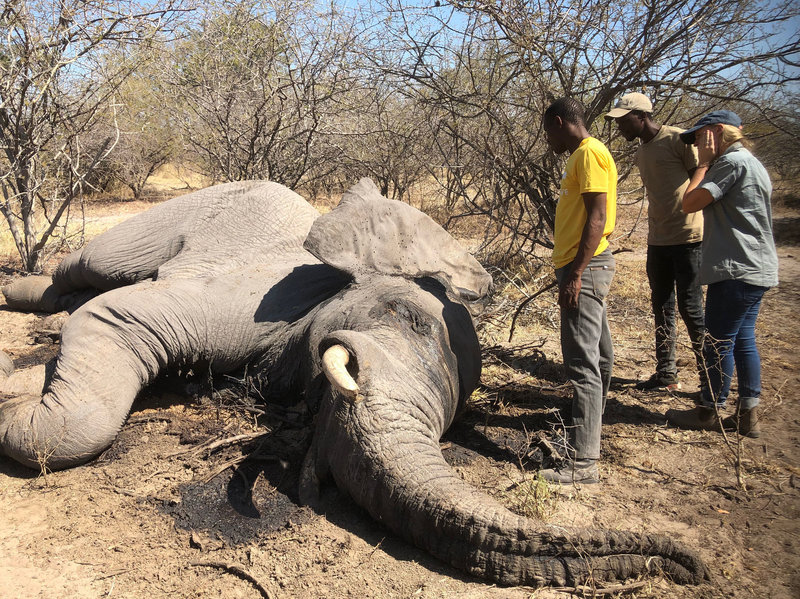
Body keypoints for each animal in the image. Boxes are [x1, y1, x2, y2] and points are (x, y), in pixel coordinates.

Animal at [0, 179, 708, 592]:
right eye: (403, 317)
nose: (693, 568)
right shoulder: (263, 298)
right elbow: (118, 319)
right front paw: (14, 397)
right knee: (90, 270)